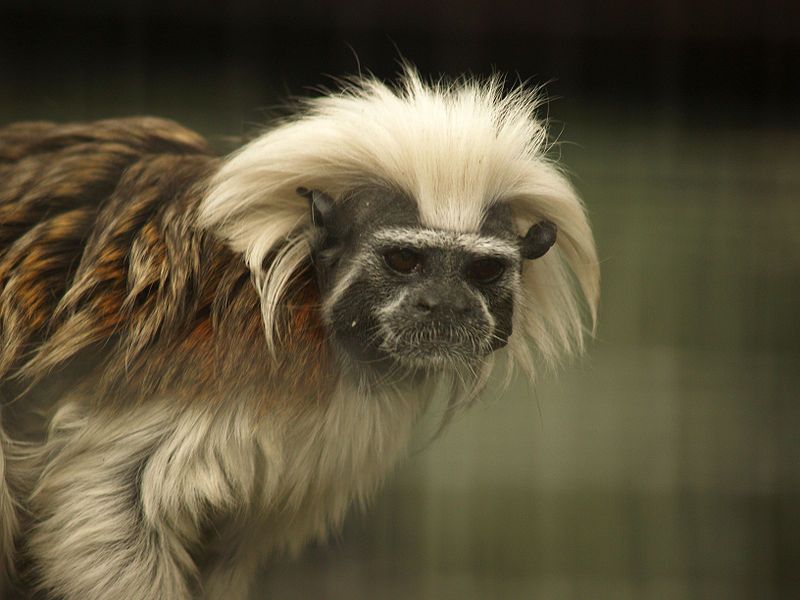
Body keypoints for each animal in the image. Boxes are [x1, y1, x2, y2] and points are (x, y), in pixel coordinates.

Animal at [0, 68, 600, 596]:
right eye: (404, 260)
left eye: (483, 271)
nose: (443, 306)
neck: (307, 295)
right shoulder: (235, 359)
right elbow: (104, 497)